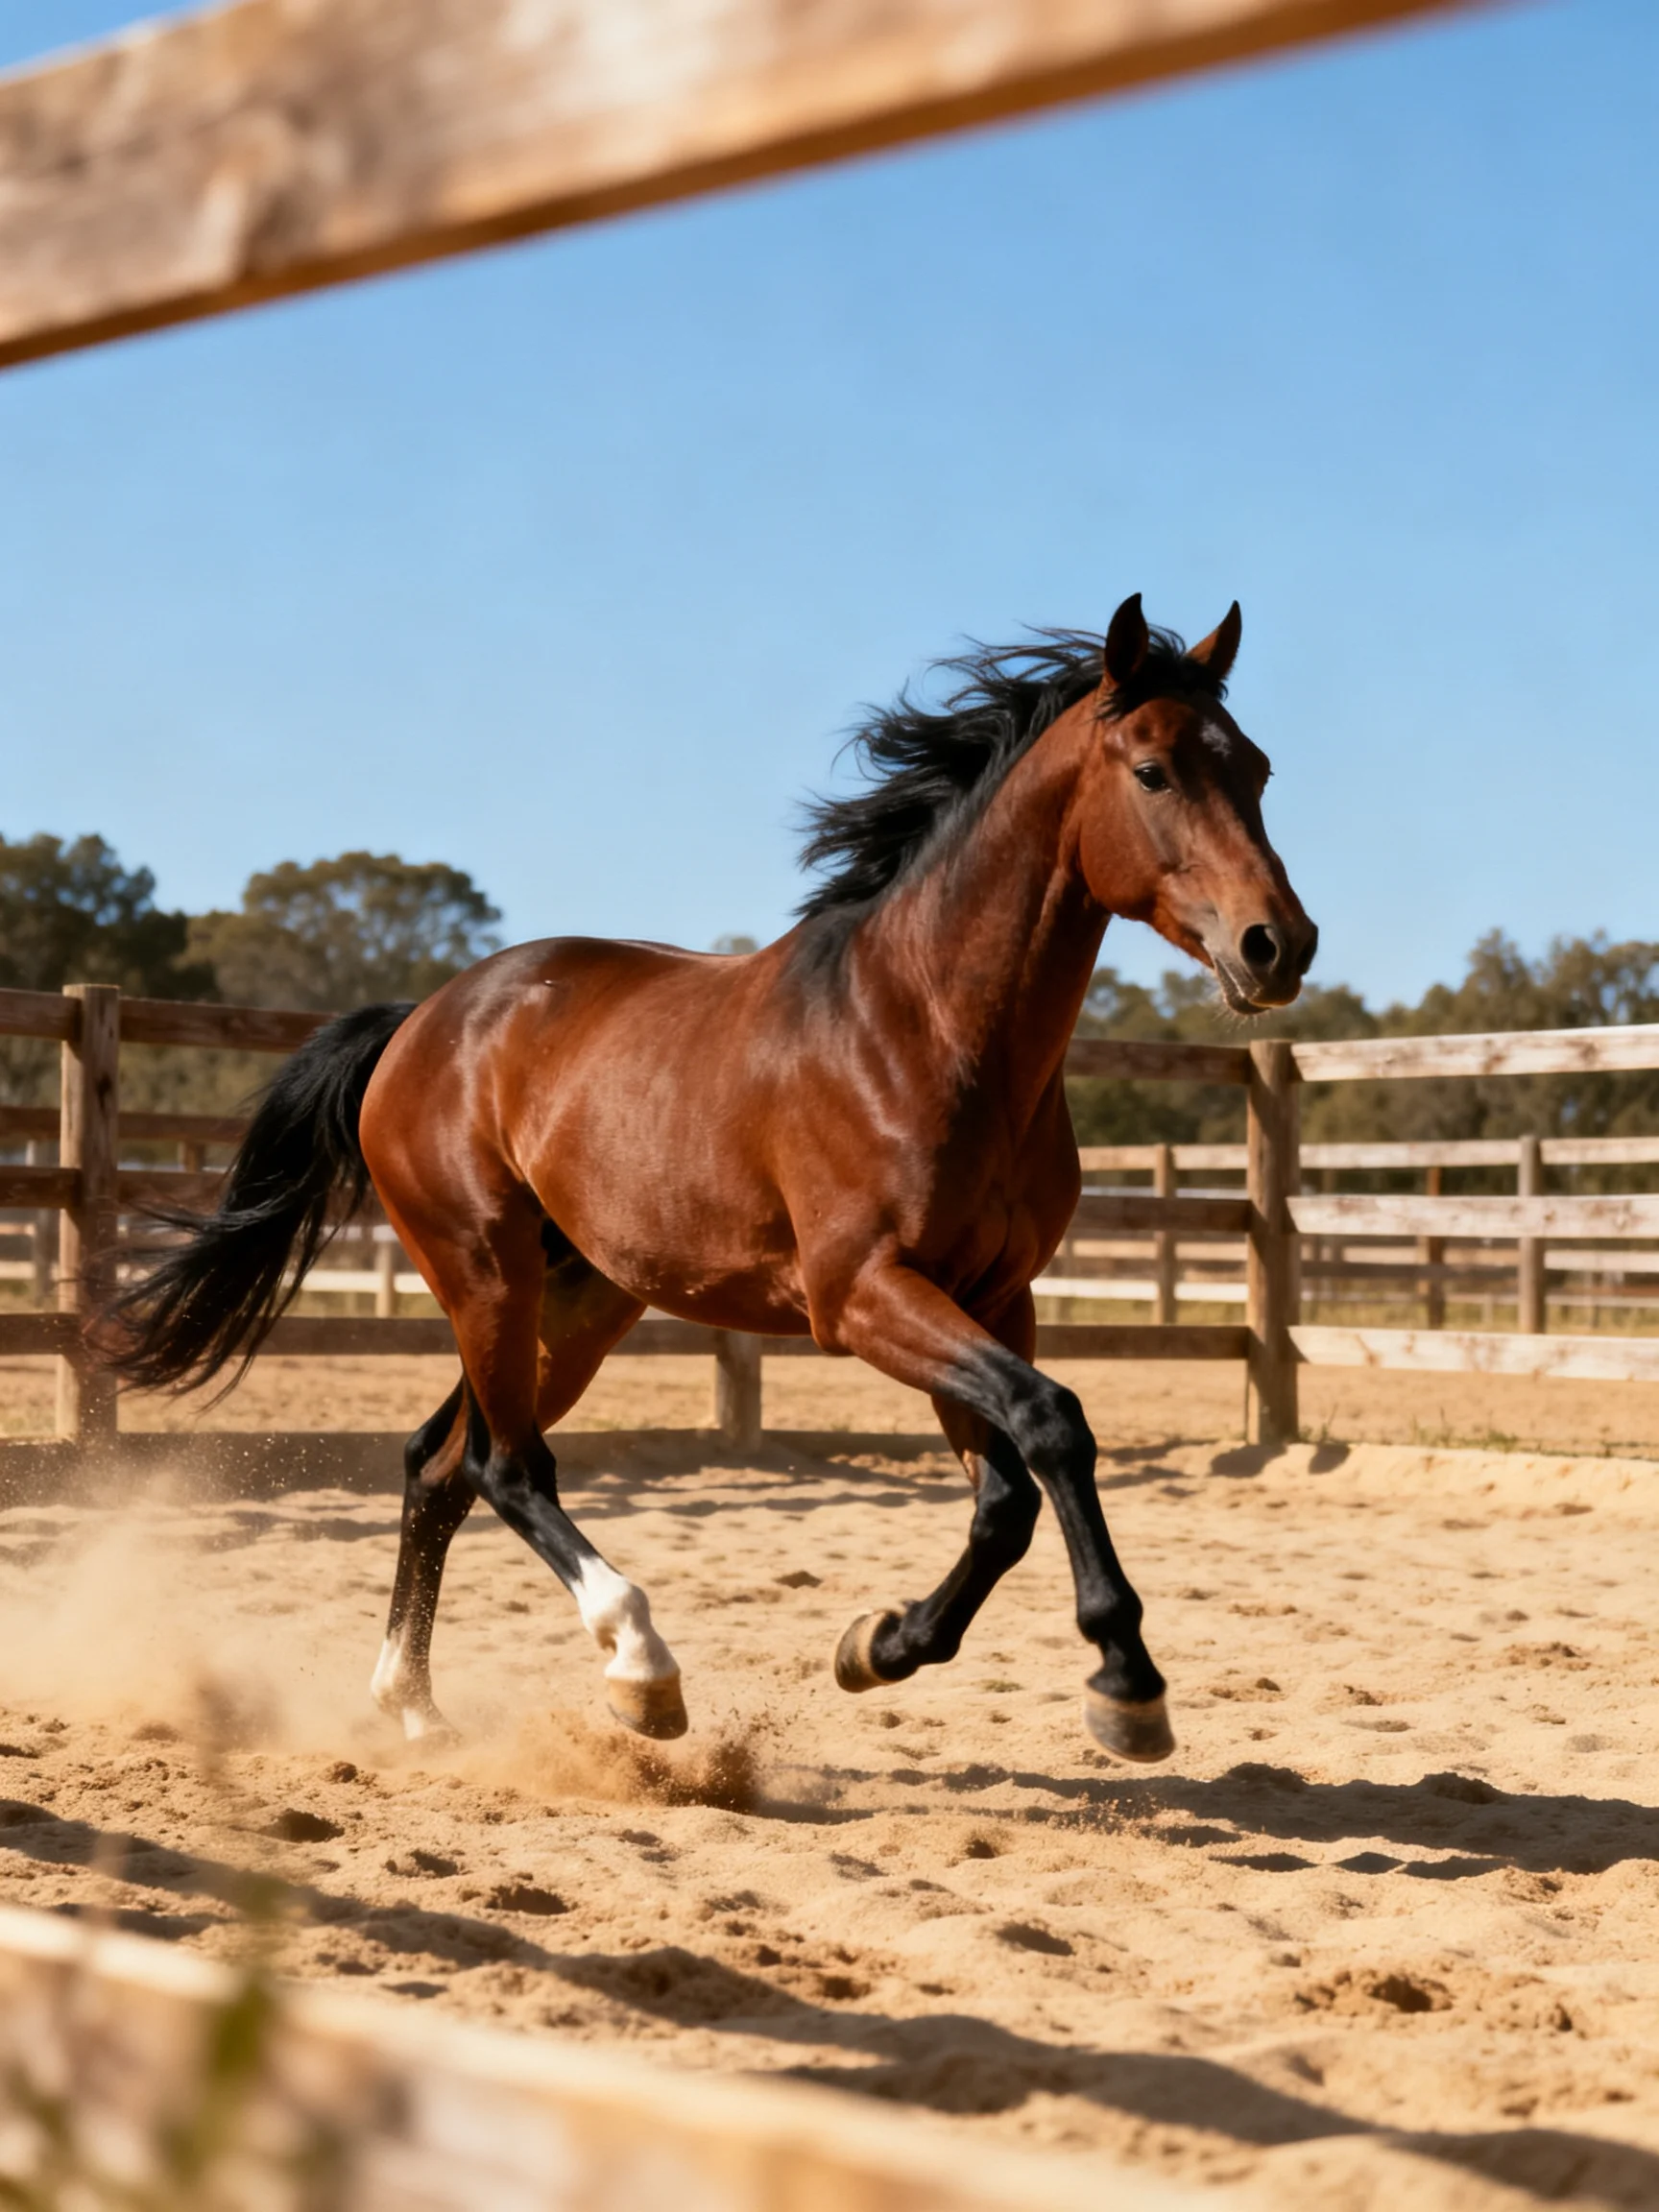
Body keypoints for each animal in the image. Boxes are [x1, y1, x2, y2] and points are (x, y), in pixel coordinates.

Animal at [111, 594, 1315, 1766]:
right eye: (1153, 771)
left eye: (1257, 769)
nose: (1278, 946)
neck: (925, 1029)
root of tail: (424, 1020)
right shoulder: (860, 1294)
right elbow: (1052, 1423)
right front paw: (1127, 1683)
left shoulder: (990, 1296)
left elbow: (1008, 1495)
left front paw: (876, 1646)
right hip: (483, 1271)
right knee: (506, 1466)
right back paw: (640, 1671)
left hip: (580, 1299)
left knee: (437, 1464)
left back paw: (416, 1710)